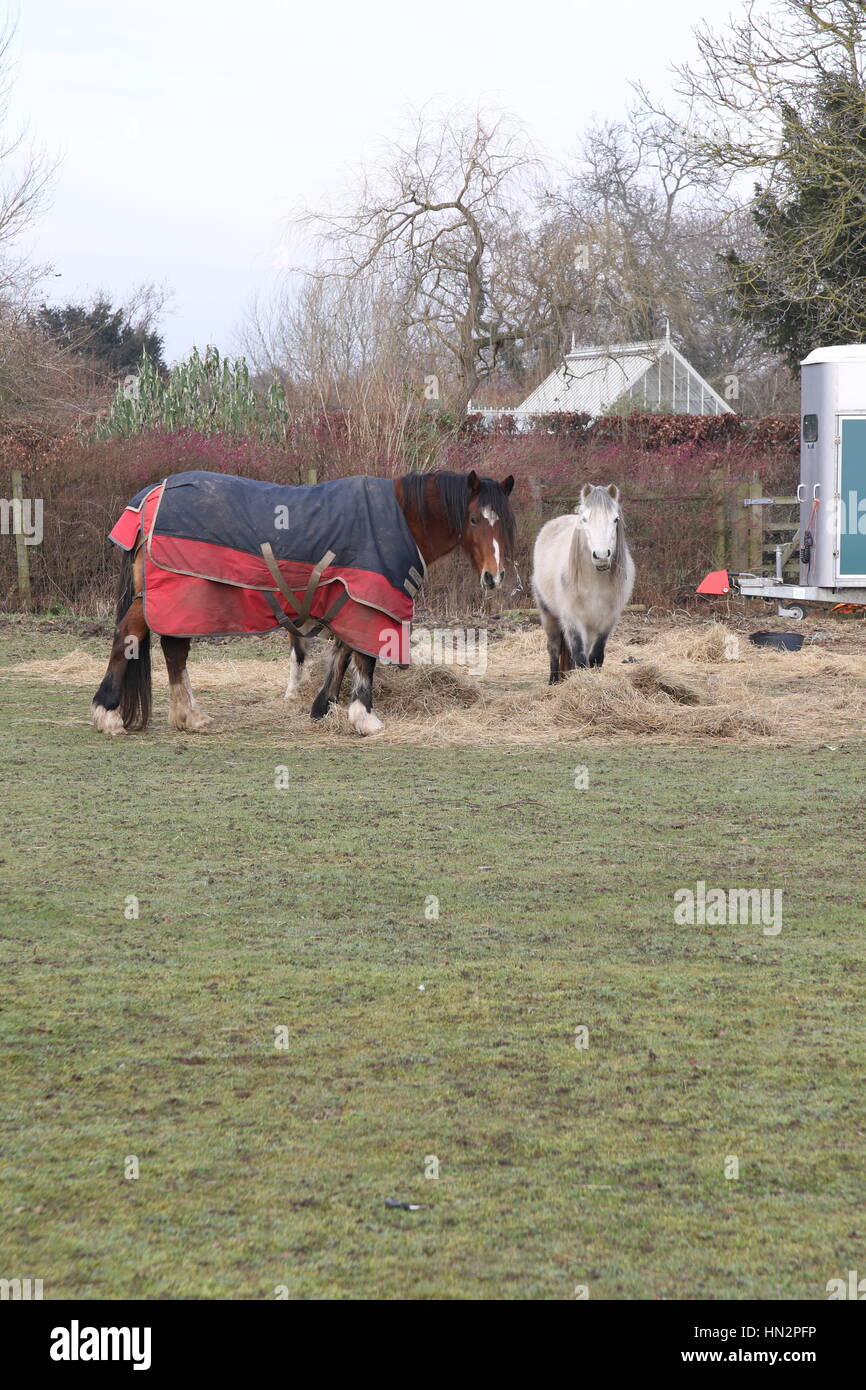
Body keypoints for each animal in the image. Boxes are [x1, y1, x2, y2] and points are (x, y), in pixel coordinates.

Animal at [92, 468, 515, 738]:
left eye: (505, 522)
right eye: (474, 519)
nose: (494, 577)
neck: (401, 518)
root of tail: (153, 494)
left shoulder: (351, 599)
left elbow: (343, 654)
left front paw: (323, 707)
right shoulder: (370, 601)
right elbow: (364, 658)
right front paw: (365, 718)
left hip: (181, 600)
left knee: (174, 648)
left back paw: (189, 716)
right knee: (130, 636)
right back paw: (108, 714)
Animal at [531, 482, 634, 682]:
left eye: (615, 519)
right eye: (585, 519)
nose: (601, 556)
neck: (594, 582)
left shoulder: (606, 621)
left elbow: (595, 657)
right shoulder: (573, 619)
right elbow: (579, 657)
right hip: (548, 613)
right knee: (554, 646)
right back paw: (553, 680)